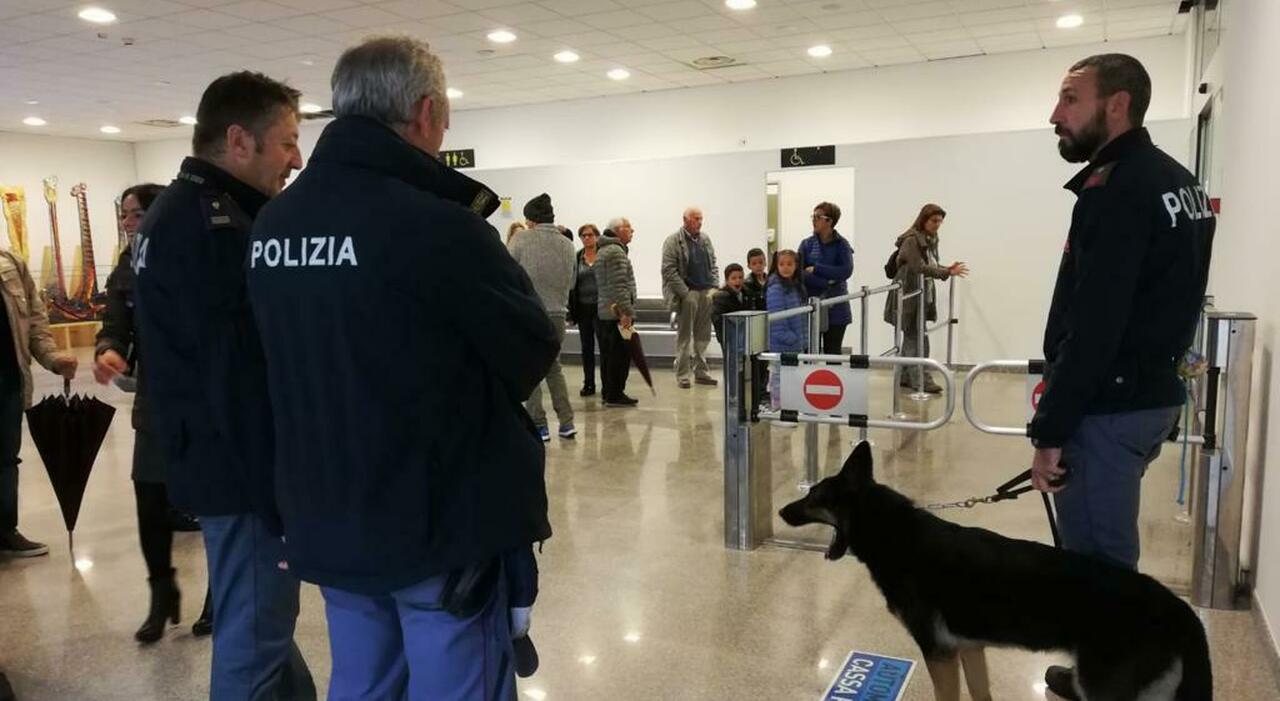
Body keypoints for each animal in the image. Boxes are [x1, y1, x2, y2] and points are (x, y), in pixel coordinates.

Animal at [778, 442, 1208, 701]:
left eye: (813, 497)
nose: (781, 511)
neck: (893, 531)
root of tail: (1177, 607)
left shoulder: (939, 654)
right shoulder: (969, 649)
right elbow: (980, 692)